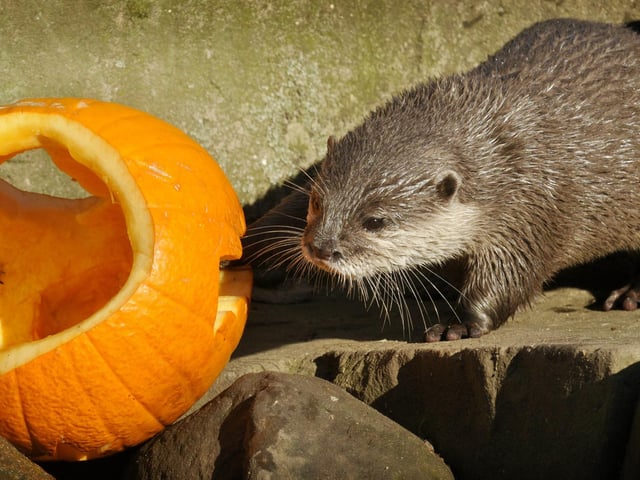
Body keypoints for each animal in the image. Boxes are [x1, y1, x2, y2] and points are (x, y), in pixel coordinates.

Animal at [242, 18, 640, 341]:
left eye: (375, 222)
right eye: (317, 202)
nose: (320, 248)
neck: (494, 143)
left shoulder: (530, 204)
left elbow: (511, 273)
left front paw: (460, 323)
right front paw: (248, 247)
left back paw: (628, 294)